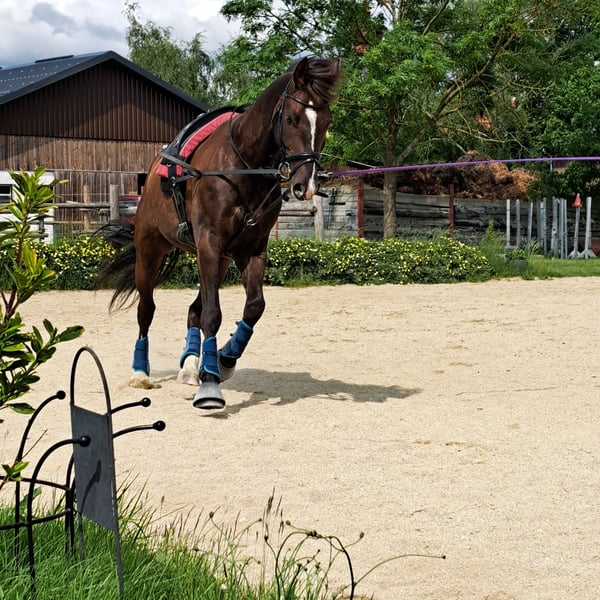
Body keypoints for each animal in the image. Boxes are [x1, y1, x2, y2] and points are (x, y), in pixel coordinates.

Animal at [96, 57, 342, 410]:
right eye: (292, 118)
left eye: (325, 122)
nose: (304, 185)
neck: (244, 167)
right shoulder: (210, 244)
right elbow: (213, 314)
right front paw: (210, 385)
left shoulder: (249, 250)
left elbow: (253, 307)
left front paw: (223, 360)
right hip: (150, 252)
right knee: (147, 309)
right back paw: (141, 371)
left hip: (218, 260)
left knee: (193, 310)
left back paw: (189, 365)